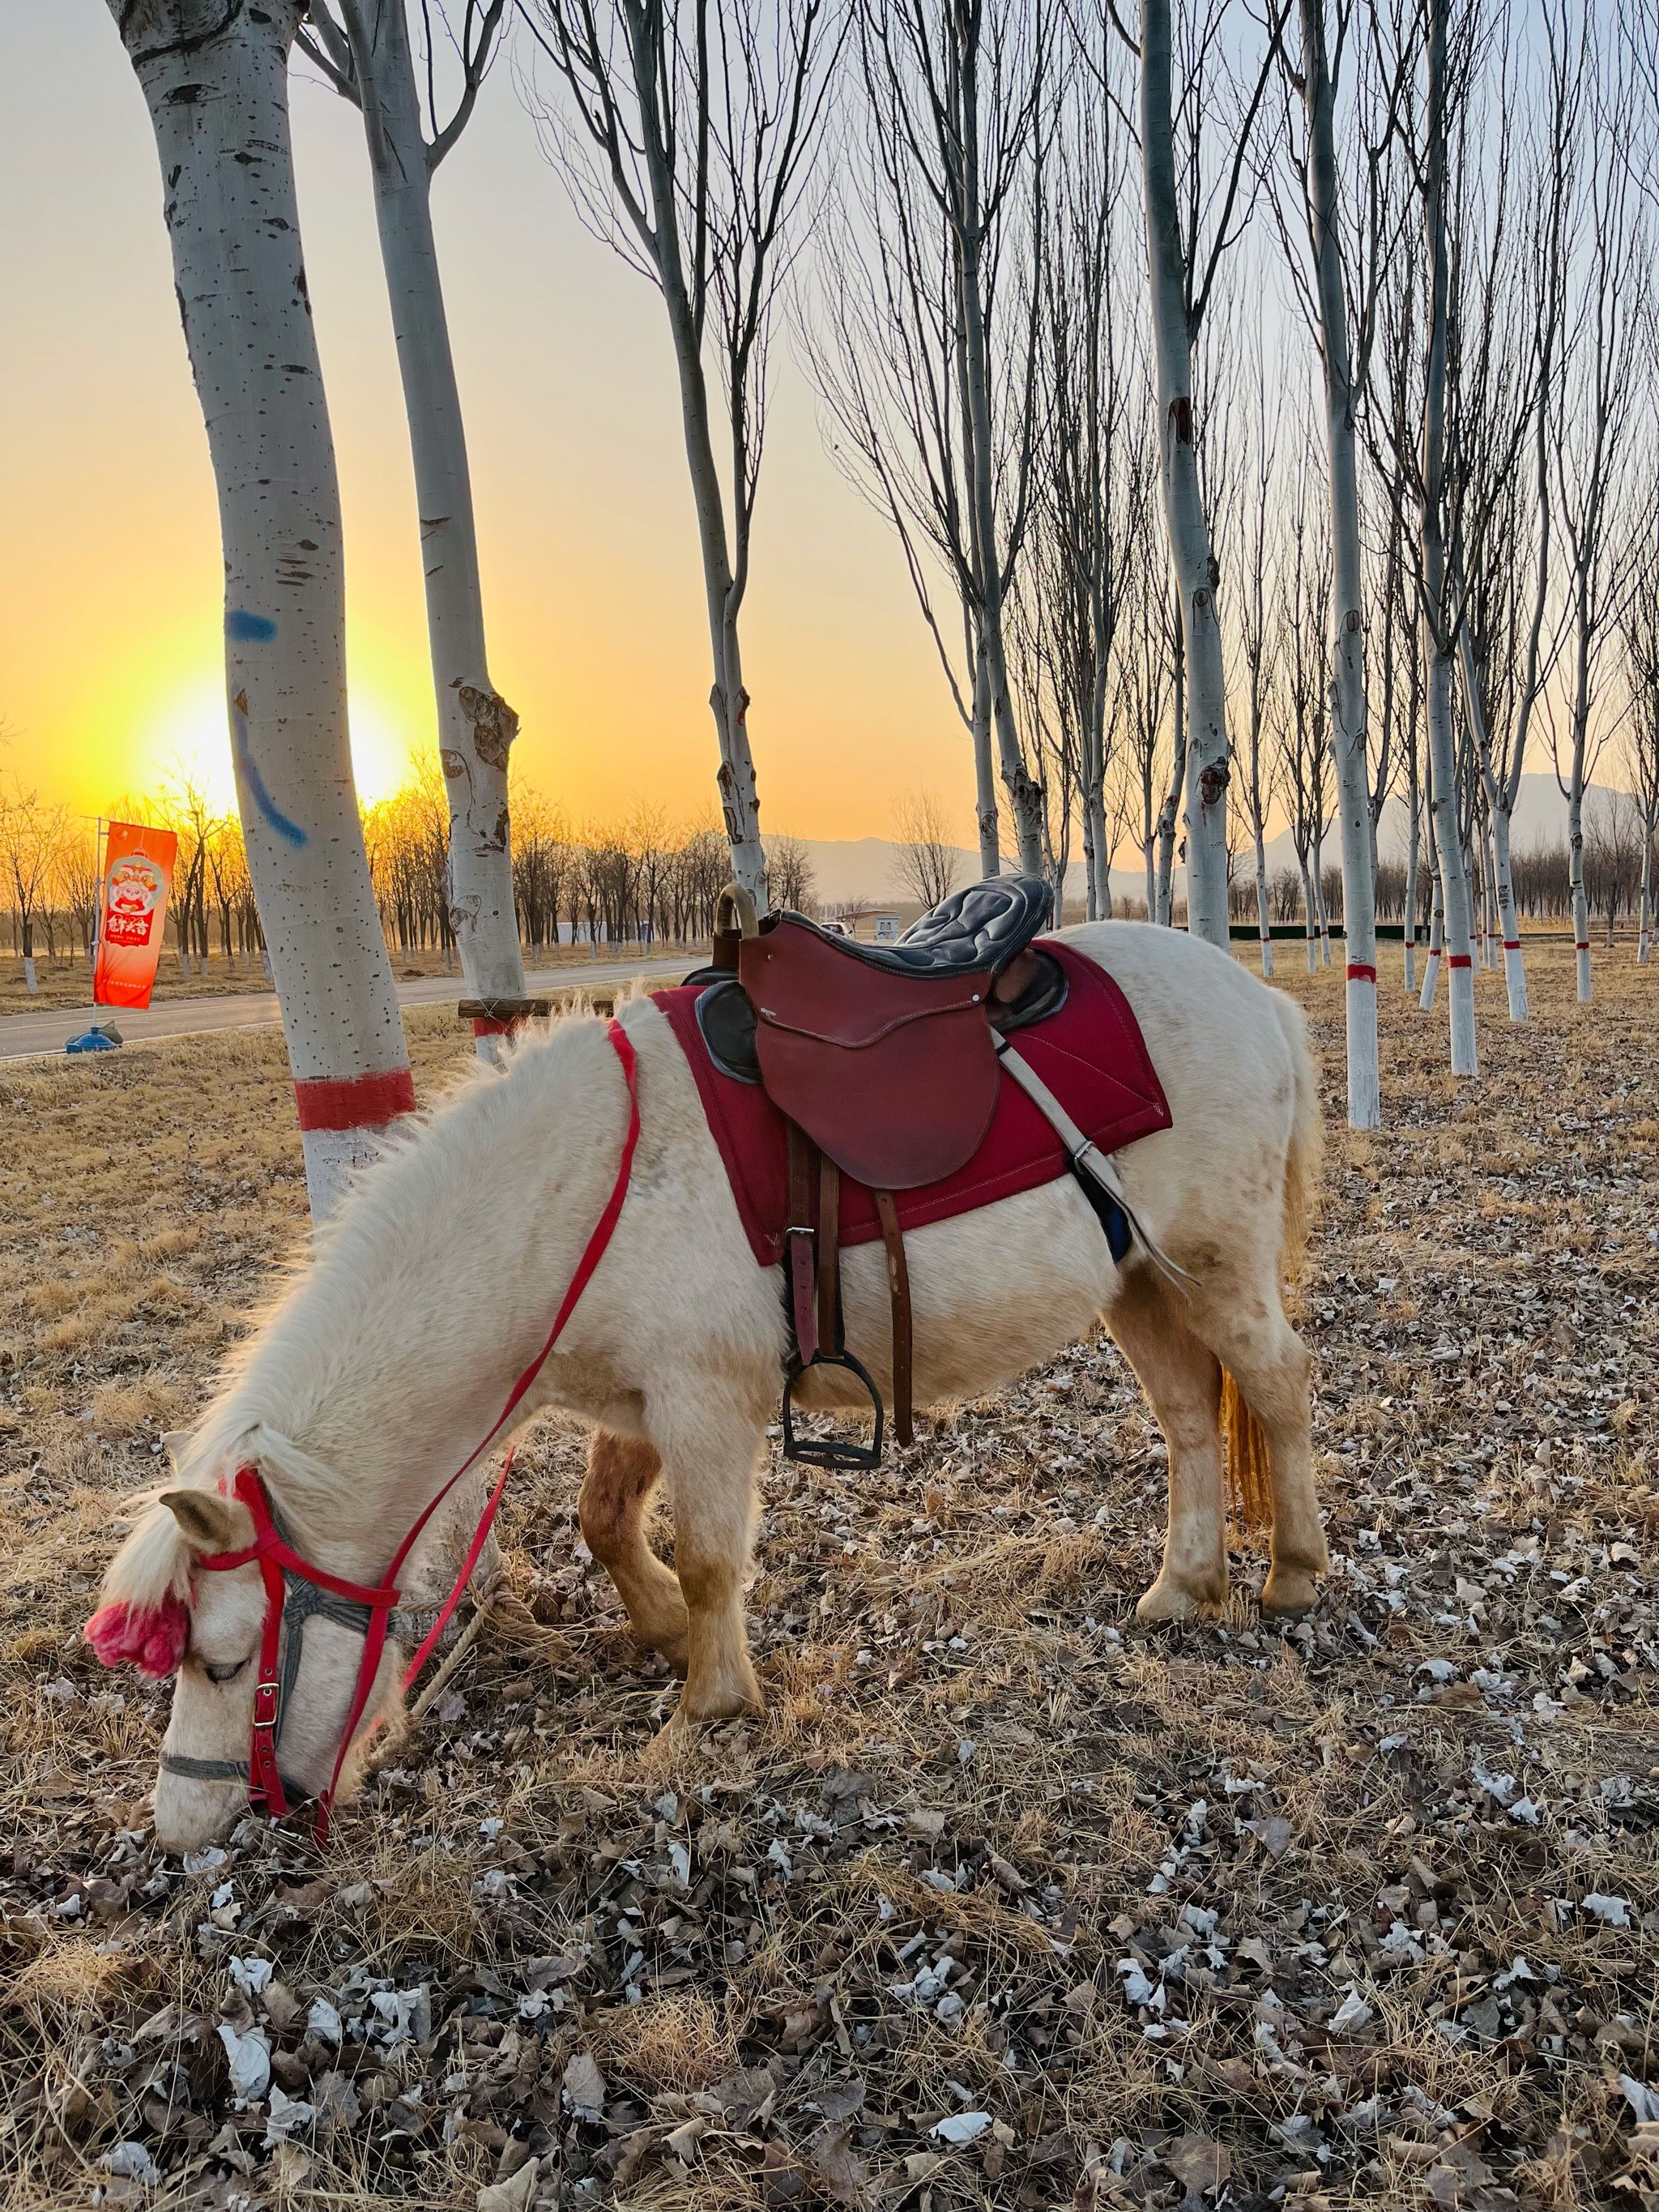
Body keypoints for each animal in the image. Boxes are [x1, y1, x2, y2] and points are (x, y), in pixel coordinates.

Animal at [94, 916, 1327, 1849]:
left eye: (225, 1659)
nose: (182, 1827)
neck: (582, 1190)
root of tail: (1256, 997)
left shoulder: (703, 1404)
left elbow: (707, 1560)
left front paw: (707, 1705)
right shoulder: (641, 1404)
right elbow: (604, 1523)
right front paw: (661, 1637)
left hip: (1215, 1267)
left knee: (1276, 1387)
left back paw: (1294, 1574)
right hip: (1140, 1284)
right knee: (1189, 1417)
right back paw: (1182, 1586)